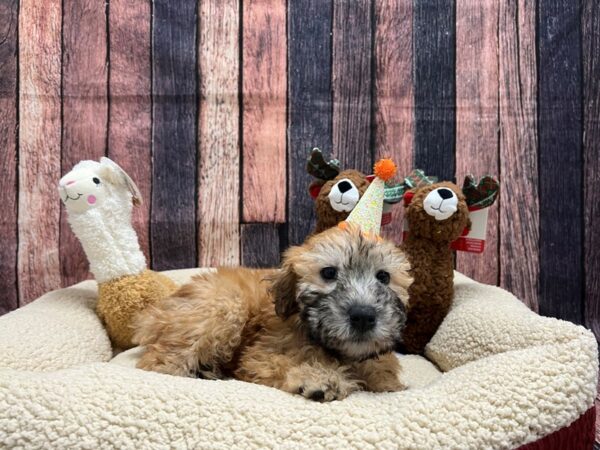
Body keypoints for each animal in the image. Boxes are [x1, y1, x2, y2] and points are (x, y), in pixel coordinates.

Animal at [133, 225, 410, 400]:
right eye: (329, 273)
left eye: (384, 277)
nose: (363, 316)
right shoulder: (260, 357)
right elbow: (283, 363)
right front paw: (317, 379)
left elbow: (383, 376)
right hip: (225, 305)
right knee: (159, 362)